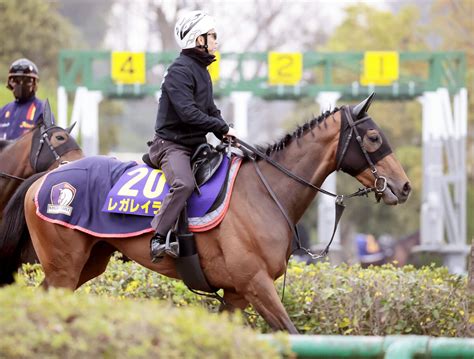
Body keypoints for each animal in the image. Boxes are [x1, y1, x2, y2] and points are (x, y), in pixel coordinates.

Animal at [0, 94, 412, 334]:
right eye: (374, 138)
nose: (404, 186)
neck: (265, 192)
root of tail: (46, 177)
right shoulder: (256, 285)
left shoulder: (236, 295)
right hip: (64, 266)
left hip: (89, 262)